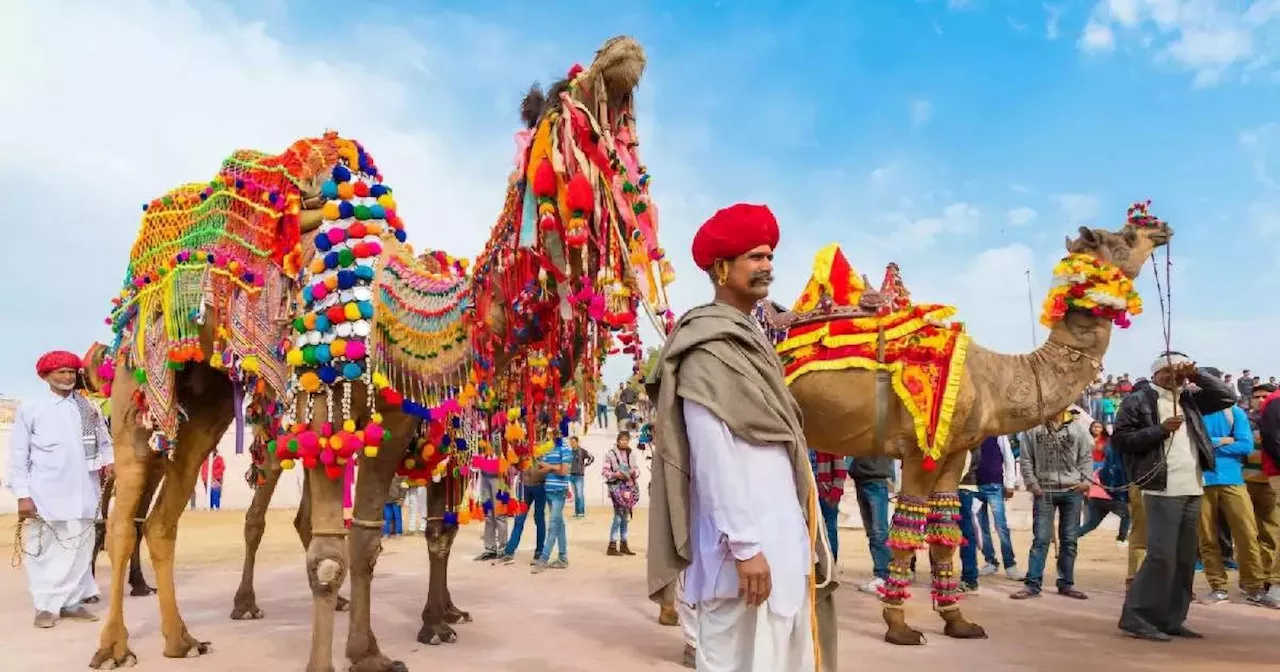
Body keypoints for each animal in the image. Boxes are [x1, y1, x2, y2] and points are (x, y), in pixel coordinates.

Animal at [90, 132, 481, 670]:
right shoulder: (343, 413)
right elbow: (343, 552)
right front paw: (429, 626)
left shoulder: (399, 429)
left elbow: (374, 539)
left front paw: (377, 650)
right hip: (141, 381)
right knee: (127, 520)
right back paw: (118, 644)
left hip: (207, 407)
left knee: (163, 520)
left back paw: (180, 639)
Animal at [757, 200, 1172, 645]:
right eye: (1125, 236)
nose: (1160, 226)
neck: (993, 377)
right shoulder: (920, 450)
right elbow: (906, 530)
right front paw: (900, 627)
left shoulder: (954, 452)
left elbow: (944, 532)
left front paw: (957, 621)